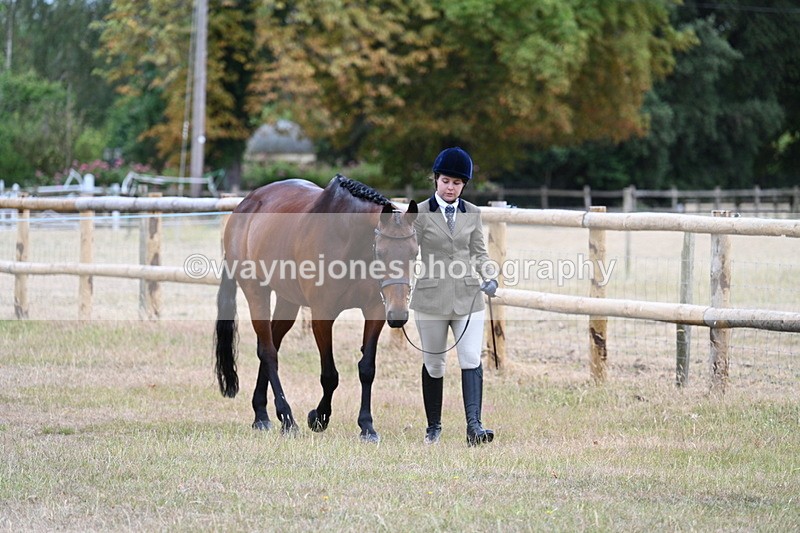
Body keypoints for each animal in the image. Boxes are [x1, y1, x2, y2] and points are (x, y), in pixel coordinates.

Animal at [214, 175, 418, 442]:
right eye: (381, 252)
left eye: (414, 253)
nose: (398, 314)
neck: (349, 241)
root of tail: (245, 205)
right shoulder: (323, 314)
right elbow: (330, 375)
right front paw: (318, 418)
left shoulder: (375, 312)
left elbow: (367, 369)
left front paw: (367, 426)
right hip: (256, 292)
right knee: (268, 352)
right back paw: (287, 419)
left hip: (288, 302)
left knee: (269, 346)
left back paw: (261, 415)